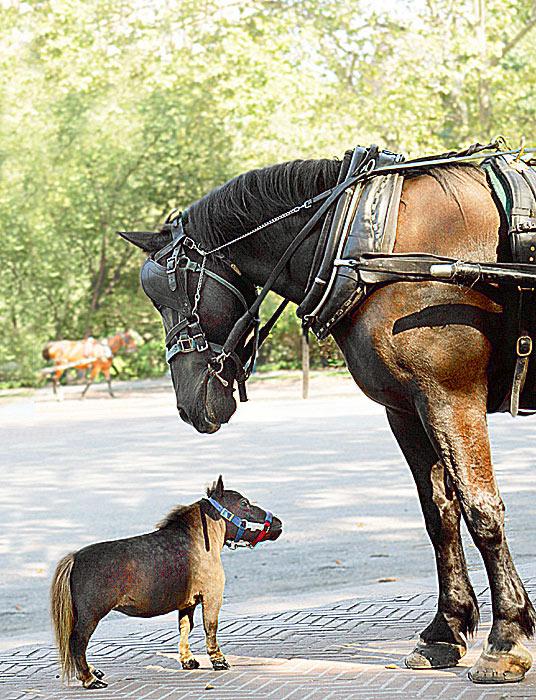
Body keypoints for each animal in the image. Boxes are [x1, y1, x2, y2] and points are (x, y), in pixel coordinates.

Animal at [122, 154, 536, 684]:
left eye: (171, 294)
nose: (188, 404)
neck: (369, 246)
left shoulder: (450, 396)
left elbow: (481, 511)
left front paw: (506, 637)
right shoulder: (407, 407)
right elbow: (439, 515)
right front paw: (446, 629)